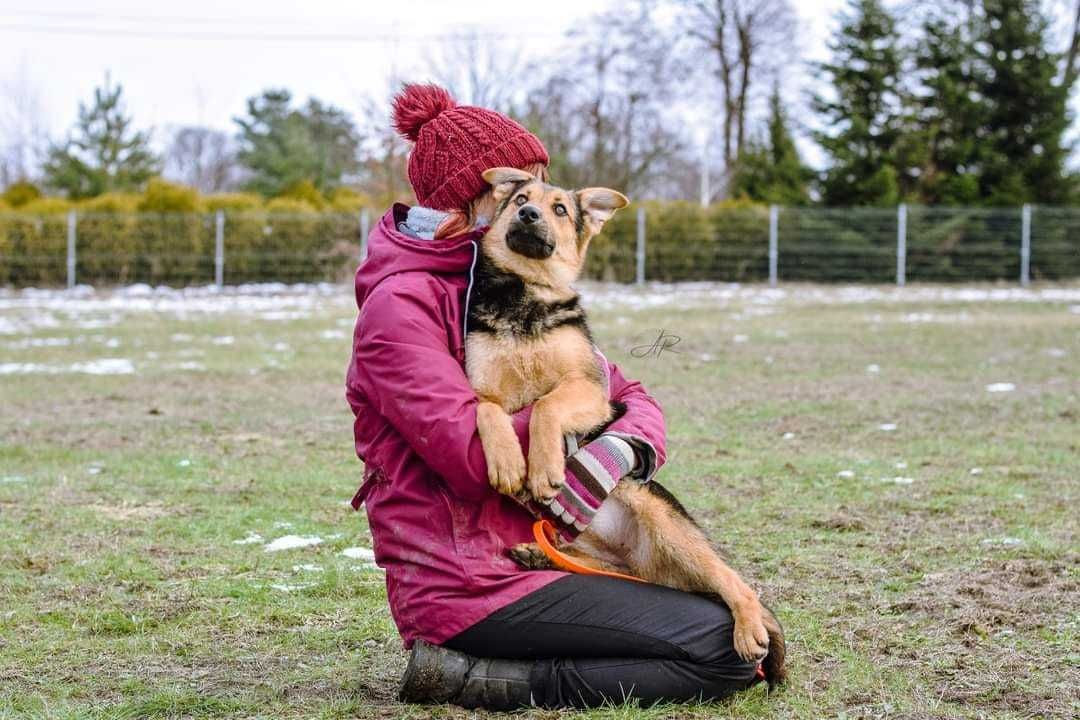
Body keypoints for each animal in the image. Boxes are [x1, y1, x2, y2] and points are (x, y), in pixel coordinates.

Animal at [464, 166, 786, 686]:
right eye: (520, 199)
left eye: (558, 209)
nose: (528, 214)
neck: (527, 296)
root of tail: (636, 556)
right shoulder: (480, 389)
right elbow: (489, 412)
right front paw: (510, 462)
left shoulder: (591, 390)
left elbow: (547, 405)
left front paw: (545, 466)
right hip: (610, 556)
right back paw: (540, 554)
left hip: (661, 519)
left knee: (735, 580)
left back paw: (748, 627)